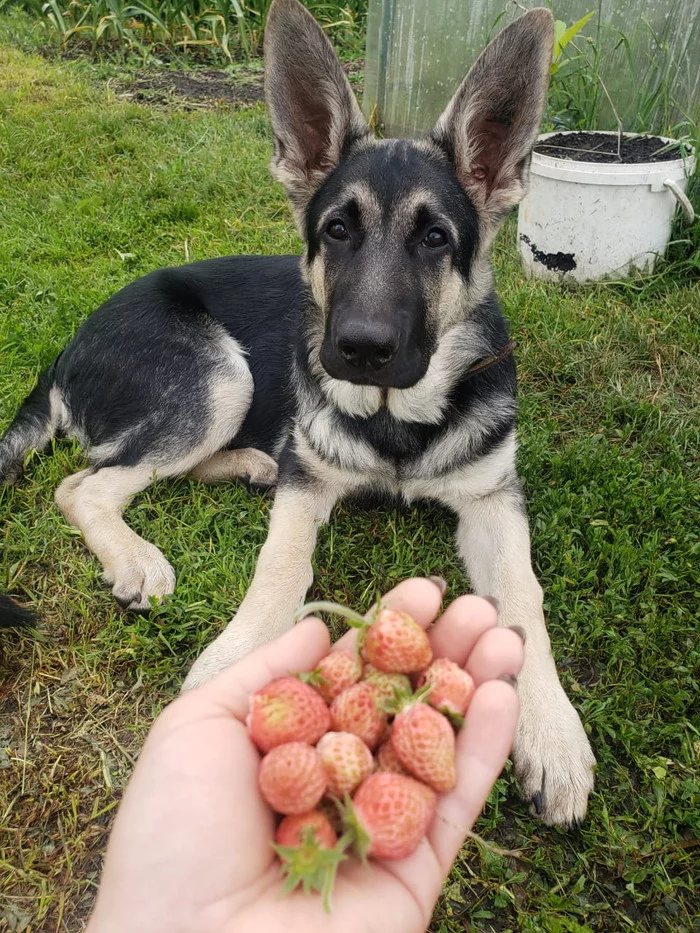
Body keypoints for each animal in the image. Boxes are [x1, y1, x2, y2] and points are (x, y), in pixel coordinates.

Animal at [1, 0, 596, 824]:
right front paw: (234, 656)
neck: (394, 418)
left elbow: (524, 597)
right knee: (83, 483)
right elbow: (280, 565)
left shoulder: (491, 501)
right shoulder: (308, 485)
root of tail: (67, 345)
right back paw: (138, 556)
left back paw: (248, 463)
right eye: (336, 230)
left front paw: (553, 731)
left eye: (435, 238)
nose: (358, 348)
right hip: (221, 376)